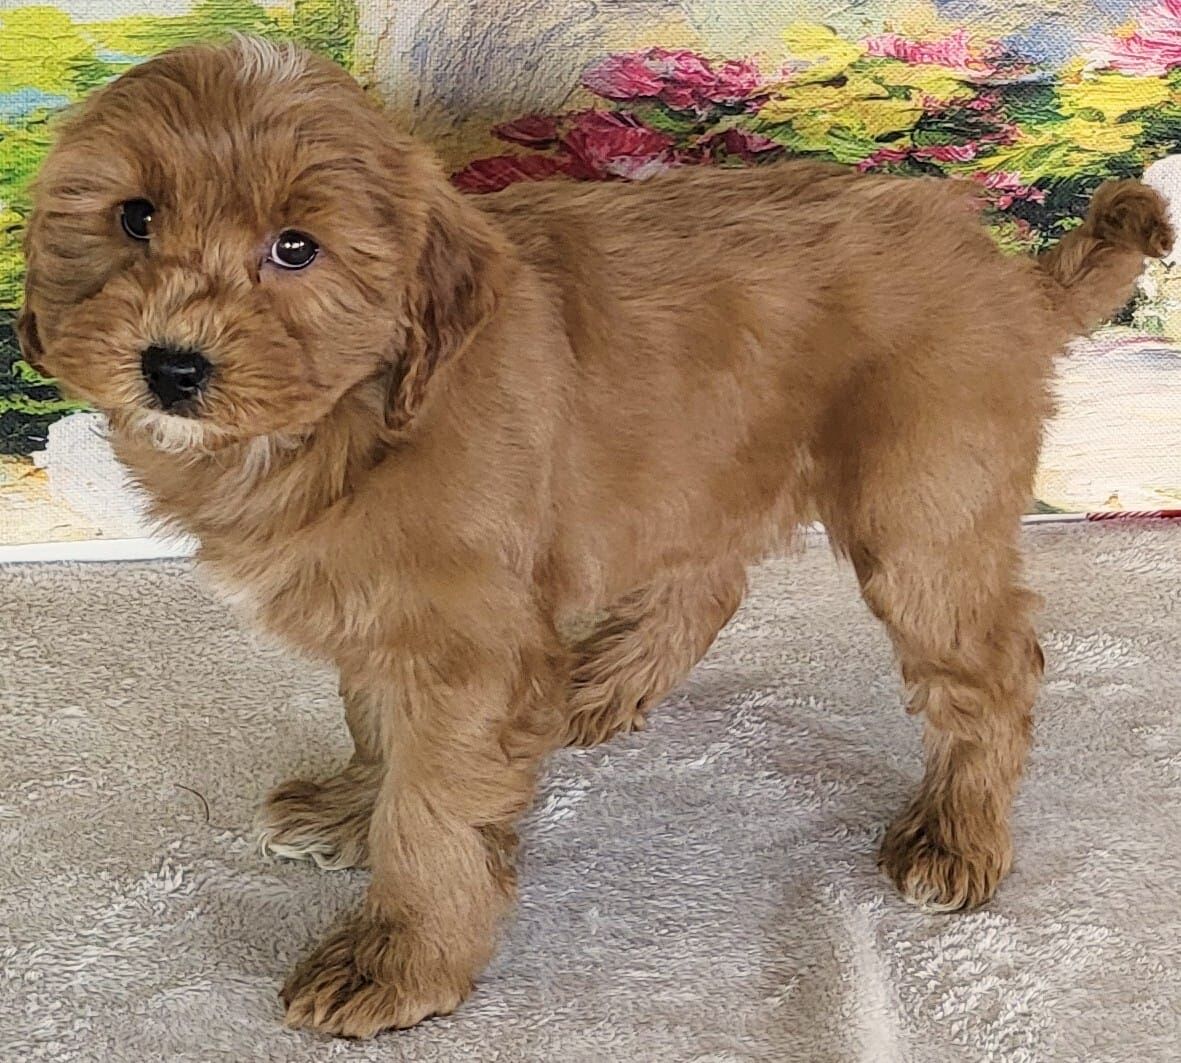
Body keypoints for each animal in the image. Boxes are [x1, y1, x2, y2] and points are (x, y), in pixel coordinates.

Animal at [18, 37, 1172, 1037]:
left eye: (294, 248)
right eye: (134, 217)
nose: (172, 366)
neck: (349, 419)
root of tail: (1002, 268)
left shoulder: (461, 641)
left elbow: (430, 813)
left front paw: (398, 962)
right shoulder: (394, 610)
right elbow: (376, 724)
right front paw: (353, 805)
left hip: (921, 505)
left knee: (991, 665)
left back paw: (954, 831)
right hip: (708, 465)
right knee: (708, 584)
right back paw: (593, 687)